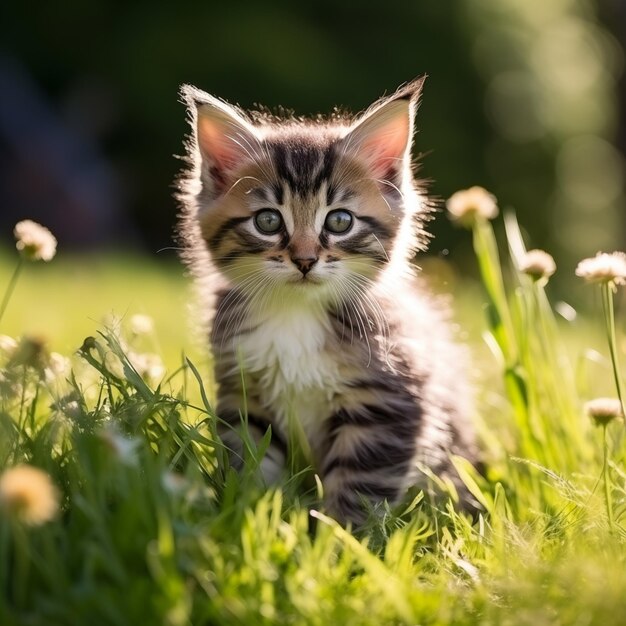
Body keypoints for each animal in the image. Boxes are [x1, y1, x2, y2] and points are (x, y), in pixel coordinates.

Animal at [176, 80, 478, 524]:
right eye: (268, 221)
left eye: (339, 221)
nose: (304, 260)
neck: (296, 313)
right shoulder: (245, 393)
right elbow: (249, 462)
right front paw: (247, 515)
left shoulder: (388, 401)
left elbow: (360, 487)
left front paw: (341, 536)